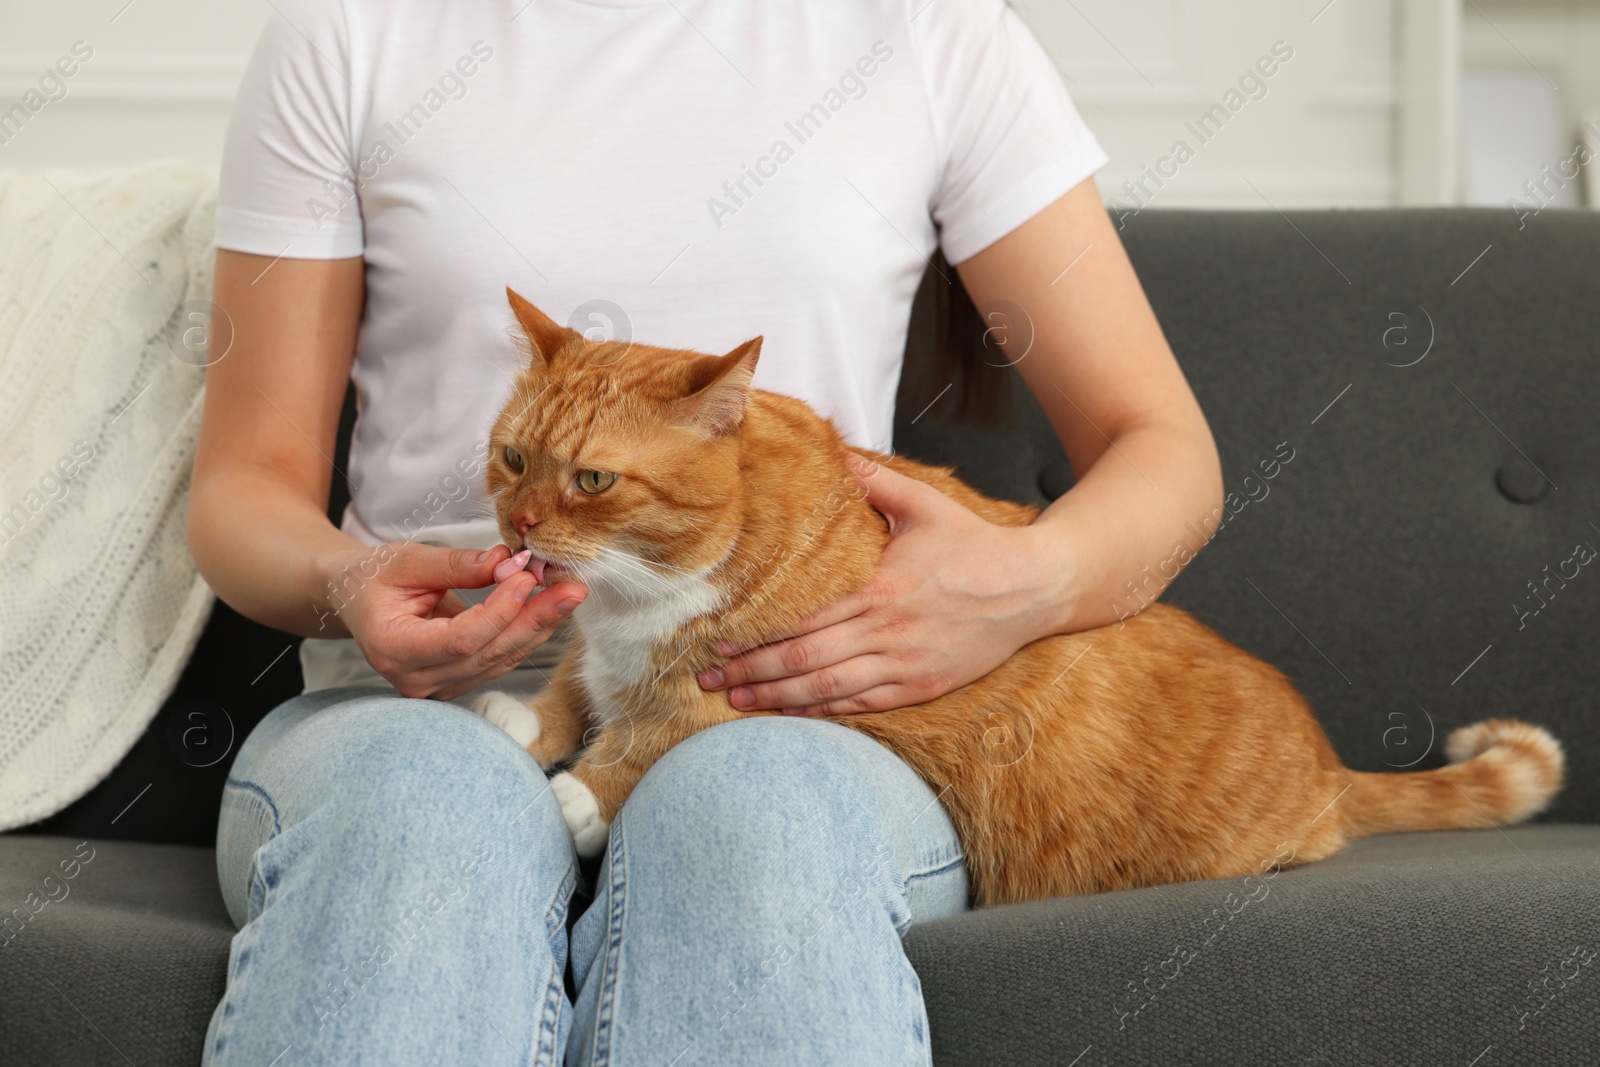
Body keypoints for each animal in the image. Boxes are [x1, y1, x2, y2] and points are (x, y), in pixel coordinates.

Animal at [467, 292, 1568, 908]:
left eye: (593, 481)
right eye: (514, 458)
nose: (518, 529)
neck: (636, 597)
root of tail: (1327, 764)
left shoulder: (760, 682)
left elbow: (650, 733)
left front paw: (574, 791)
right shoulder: (599, 644)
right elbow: (575, 683)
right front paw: (525, 720)